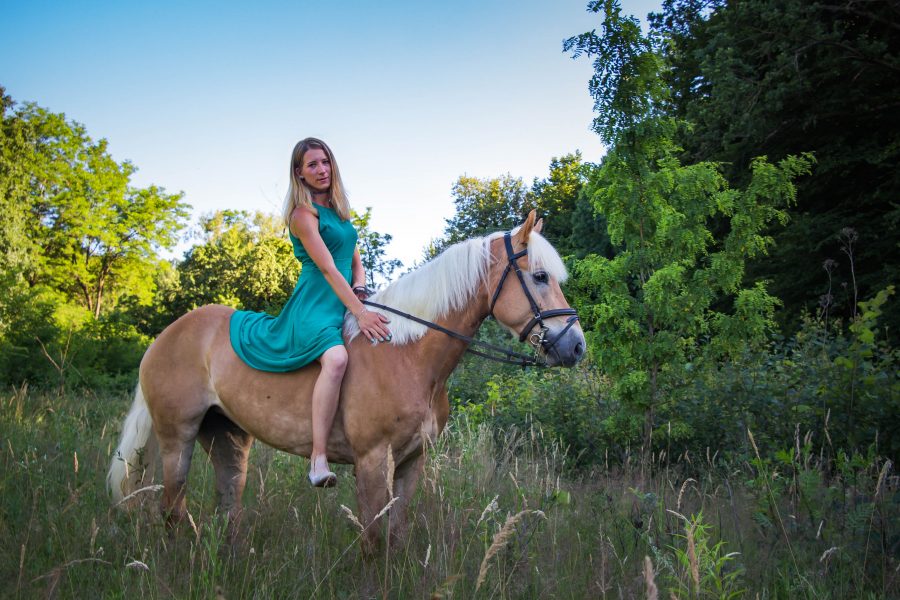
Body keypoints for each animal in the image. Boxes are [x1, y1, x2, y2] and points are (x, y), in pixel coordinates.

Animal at [107, 209, 584, 552]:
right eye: (540, 277)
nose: (576, 346)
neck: (407, 353)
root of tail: (164, 337)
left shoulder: (412, 462)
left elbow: (396, 535)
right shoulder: (373, 461)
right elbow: (373, 542)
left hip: (227, 438)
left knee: (227, 508)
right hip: (178, 438)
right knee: (171, 509)